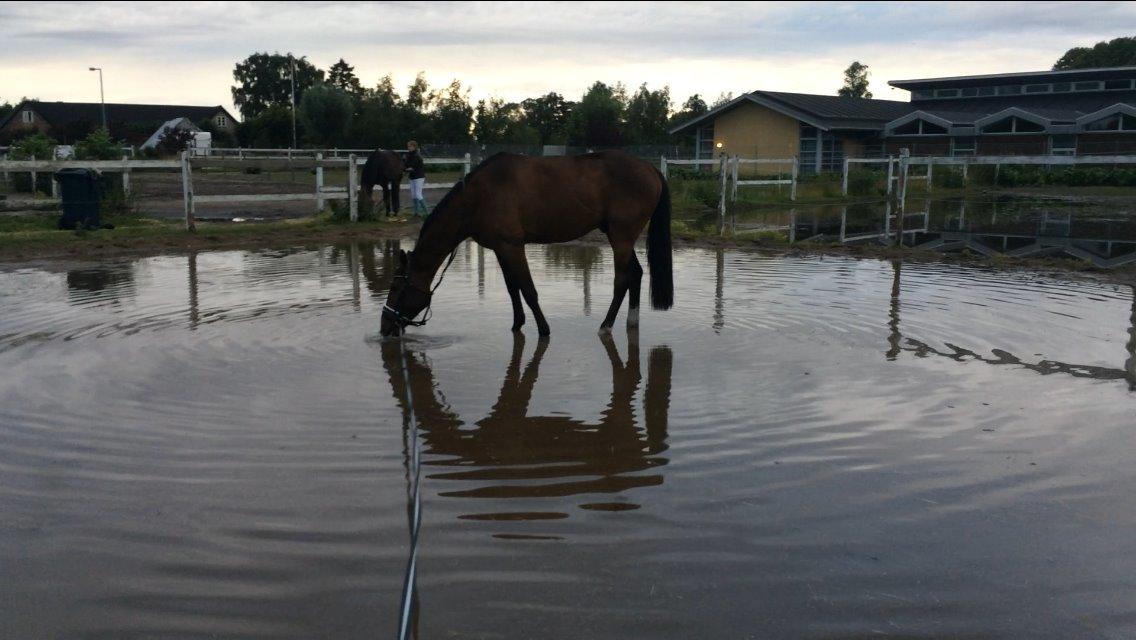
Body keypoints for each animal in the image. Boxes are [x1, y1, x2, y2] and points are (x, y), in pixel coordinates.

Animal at [377, 152, 667, 338]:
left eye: (396, 288)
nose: (385, 326)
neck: (478, 197)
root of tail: (651, 169)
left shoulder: (513, 246)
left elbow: (527, 289)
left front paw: (543, 330)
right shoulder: (501, 248)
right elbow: (512, 288)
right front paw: (517, 325)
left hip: (621, 238)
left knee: (622, 279)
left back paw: (606, 325)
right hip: (621, 238)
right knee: (636, 274)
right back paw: (631, 322)